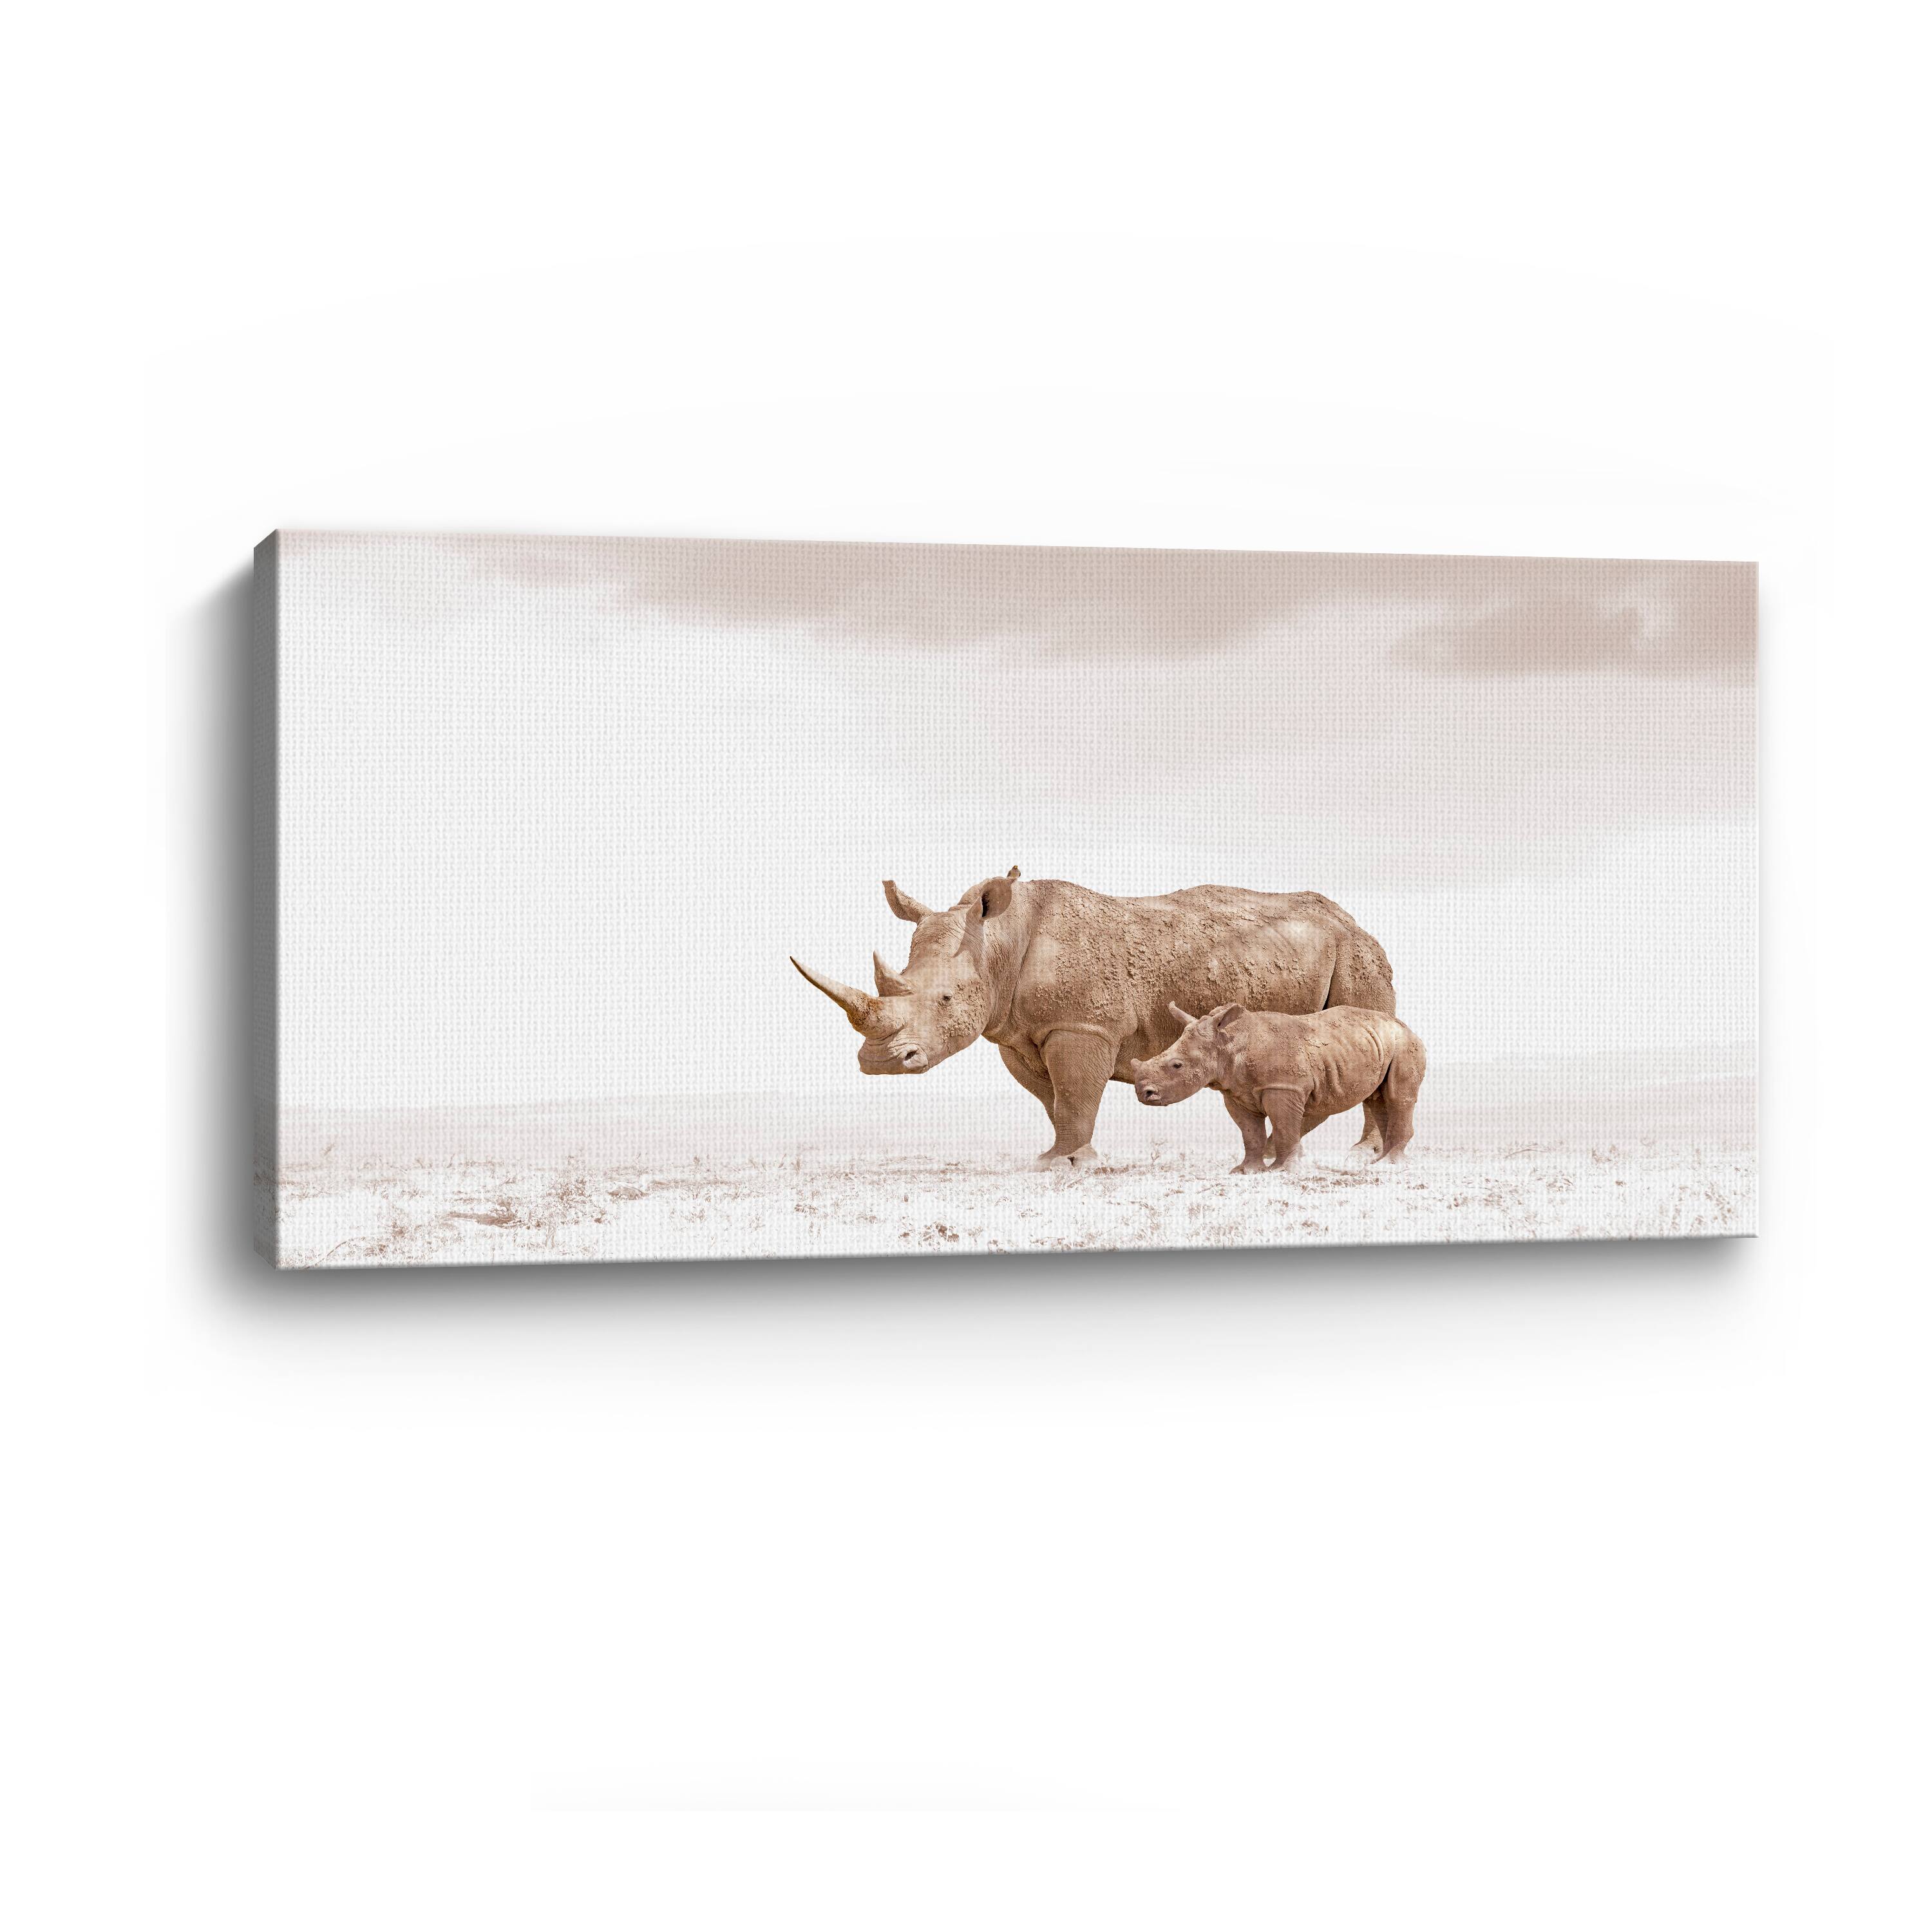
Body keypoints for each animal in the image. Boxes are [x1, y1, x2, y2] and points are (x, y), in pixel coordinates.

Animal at [791, 869, 1397, 1169]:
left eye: (946, 999)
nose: (880, 1063)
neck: (999, 943)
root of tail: (1353, 919)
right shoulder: (1018, 1034)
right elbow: (1055, 1101)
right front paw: (1055, 1157)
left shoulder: (1081, 1026)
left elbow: (1076, 1093)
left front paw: (1070, 1165)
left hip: (1359, 954)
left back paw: (1360, 1157)